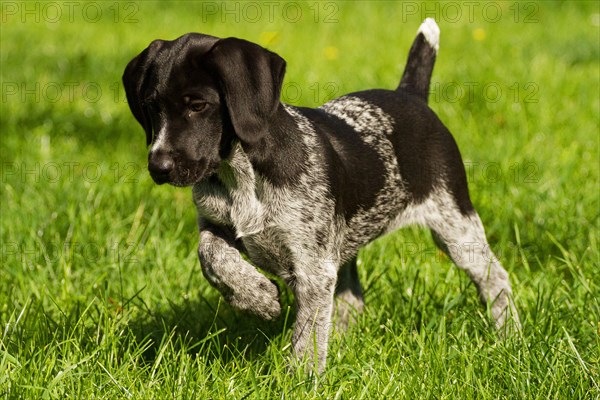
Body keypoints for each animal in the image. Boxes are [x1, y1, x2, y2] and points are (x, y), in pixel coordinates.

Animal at [123, 18, 520, 372]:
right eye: (151, 106)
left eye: (198, 106)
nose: (158, 166)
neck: (241, 172)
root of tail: (411, 95)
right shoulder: (216, 223)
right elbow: (211, 257)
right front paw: (257, 298)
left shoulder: (313, 266)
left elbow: (307, 333)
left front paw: (301, 378)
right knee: (351, 298)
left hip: (455, 225)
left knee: (496, 279)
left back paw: (509, 337)